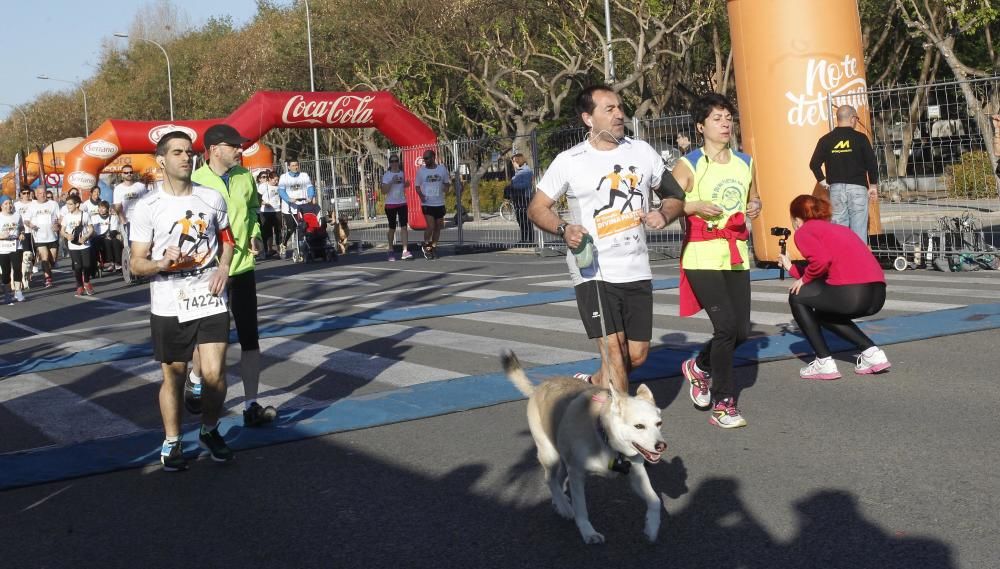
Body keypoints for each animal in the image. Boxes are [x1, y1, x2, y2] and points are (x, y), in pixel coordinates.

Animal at [504, 350, 668, 540]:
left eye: (659, 423)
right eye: (639, 426)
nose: (661, 446)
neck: (604, 435)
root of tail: (538, 388)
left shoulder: (637, 473)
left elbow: (655, 500)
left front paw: (652, 527)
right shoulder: (576, 474)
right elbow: (581, 508)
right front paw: (588, 532)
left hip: (562, 457)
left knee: (557, 480)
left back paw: (560, 501)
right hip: (550, 454)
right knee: (549, 479)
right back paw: (564, 507)